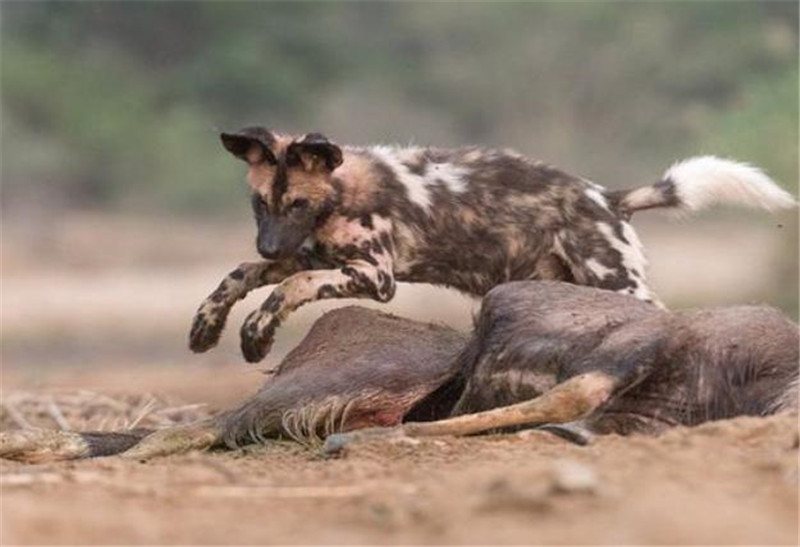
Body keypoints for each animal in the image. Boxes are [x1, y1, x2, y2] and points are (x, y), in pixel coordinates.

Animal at [188, 128, 792, 364]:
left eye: (299, 204)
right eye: (260, 204)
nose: (268, 244)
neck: (340, 194)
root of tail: (605, 197)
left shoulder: (374, 276)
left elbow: (290, 286)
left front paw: (256, 335)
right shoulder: (311, 255)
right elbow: (239, 275)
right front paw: (207, 328)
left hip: (616, 282)